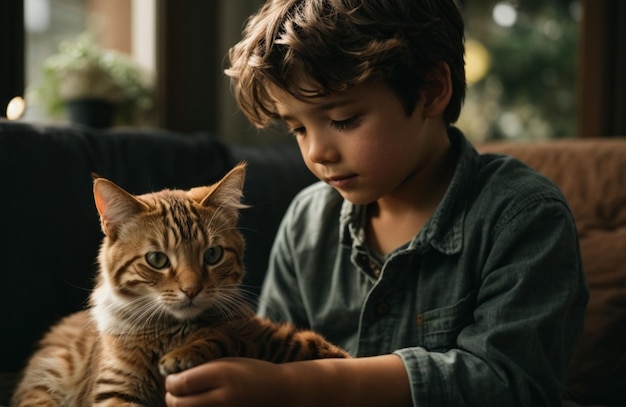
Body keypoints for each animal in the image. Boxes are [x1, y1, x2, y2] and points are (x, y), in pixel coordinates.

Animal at [12, 163, 348, 407]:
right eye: (157, 259)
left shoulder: (302, 345)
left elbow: (232, 336)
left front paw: (185, 354)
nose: (192, 290)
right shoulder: (113, 389)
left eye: (212, 255)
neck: (169, 332)